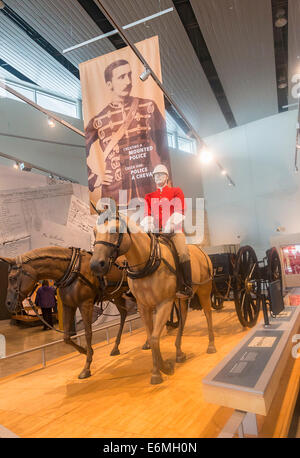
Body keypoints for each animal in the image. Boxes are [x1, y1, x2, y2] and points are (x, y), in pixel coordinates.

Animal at [1, 247, 130, 380]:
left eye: (12, 278)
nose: (8, 304)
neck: (72, 269)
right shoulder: (69, 306)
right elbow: (66, 337)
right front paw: (86, 351)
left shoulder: (85, 304)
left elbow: (88, 333)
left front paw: (86, 367)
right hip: (117, 295)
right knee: (124, 313)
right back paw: (115, 347)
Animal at [90, 213, 217, 384]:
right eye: (95, 232)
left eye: (115, 230)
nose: (96, 265)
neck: (147, 264)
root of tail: (200, 251)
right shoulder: (144, 307)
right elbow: (151, 338)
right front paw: (157, 372)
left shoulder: (164, 303)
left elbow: (156, 337)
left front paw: (165, 368)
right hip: (181, 299)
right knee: (183, 318)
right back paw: (179, 353)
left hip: (204, 290)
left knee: (208, 314)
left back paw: (211, 345)